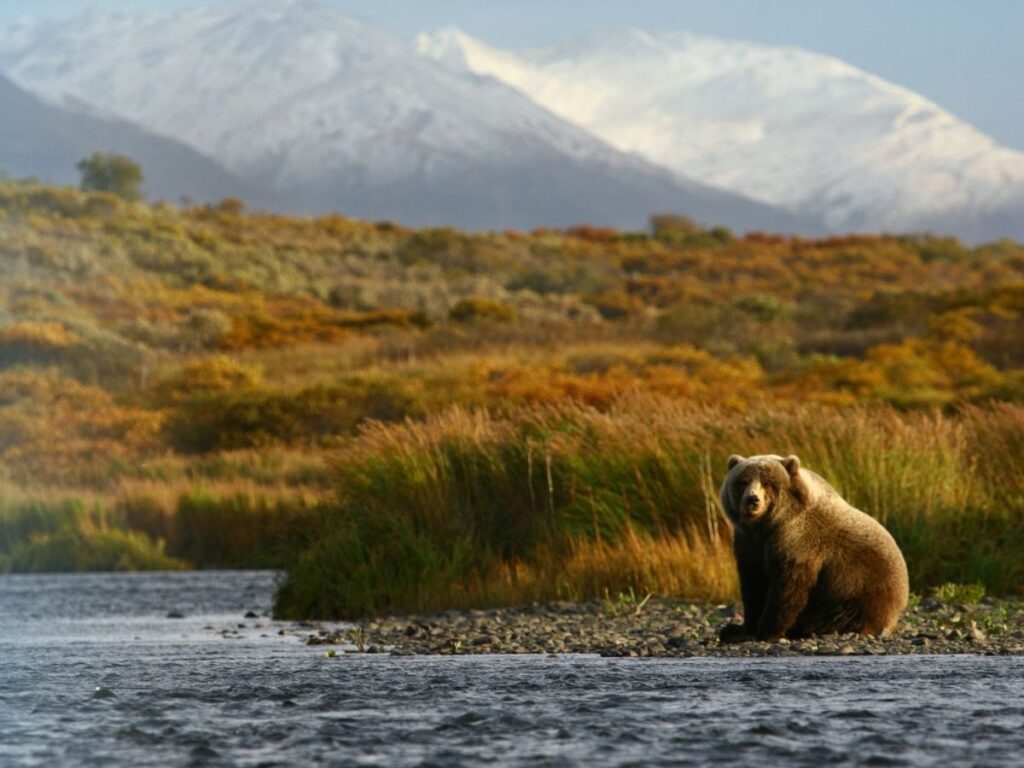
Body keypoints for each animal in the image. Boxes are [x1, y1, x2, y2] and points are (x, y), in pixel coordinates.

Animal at [717, 454, 909, 644]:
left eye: (767, 482)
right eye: (743, 482)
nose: (752, 499)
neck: (766, 526)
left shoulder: (797, 541)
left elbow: (788, 588)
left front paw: (764, 632)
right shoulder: (749, 544)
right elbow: (753, 585)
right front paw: (743, 630)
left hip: (860, 590)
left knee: (836, 617)